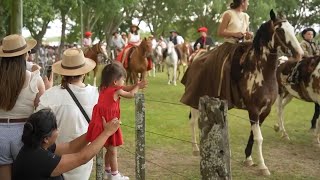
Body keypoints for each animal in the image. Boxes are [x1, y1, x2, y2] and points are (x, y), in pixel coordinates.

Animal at [184, 10, 304, 176]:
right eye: (280, 30)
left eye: (292, 28)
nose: (299, 54)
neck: (260, 70)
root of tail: (195, 60)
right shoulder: (253, 110)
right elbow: (259, 138)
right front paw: (263, 166)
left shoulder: (265, 110)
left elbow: (254, 135)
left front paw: (248, 158)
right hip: (195, 100)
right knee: (193, 121)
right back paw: (196, 148)